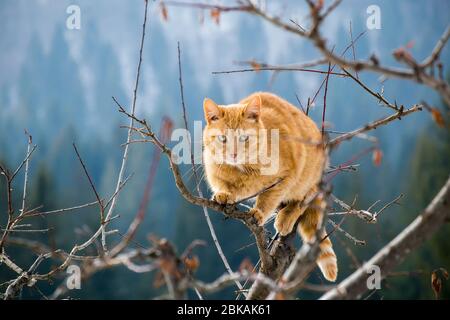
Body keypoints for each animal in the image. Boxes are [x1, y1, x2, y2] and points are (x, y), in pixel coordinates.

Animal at [203, 91, 338, 282]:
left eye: (244, 138)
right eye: (223, 138)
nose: (234, 154)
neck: (242, 170)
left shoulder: (286, 177)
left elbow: (268, 198)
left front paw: (259, 212)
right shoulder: (213, 171)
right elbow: (223, 185)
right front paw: (224, 194)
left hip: (308, 179)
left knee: (302, 200)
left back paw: (286, 217)